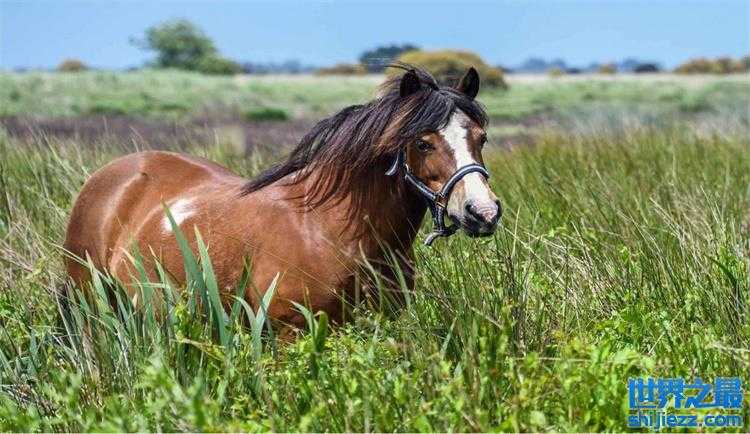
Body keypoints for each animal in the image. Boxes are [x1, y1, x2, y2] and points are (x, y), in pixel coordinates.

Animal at [63, 66, 502, 337]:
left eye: (481, 138)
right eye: (423, 143)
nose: (482, 212)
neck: (331, 230)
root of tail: (112, 175)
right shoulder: (289, 333)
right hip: (90, 307)